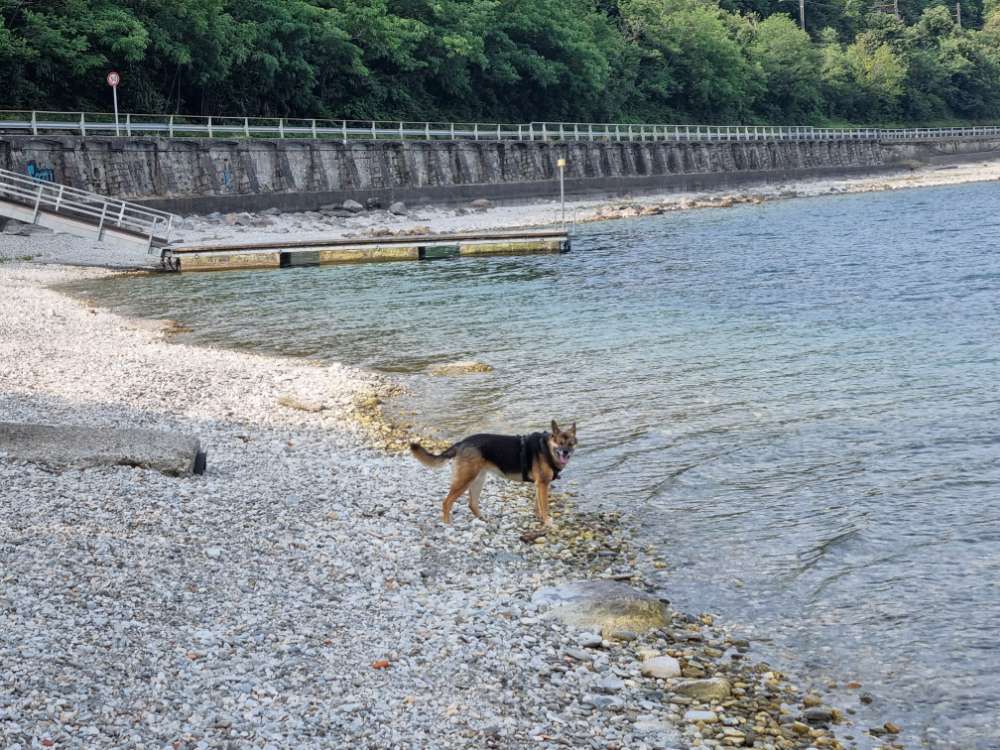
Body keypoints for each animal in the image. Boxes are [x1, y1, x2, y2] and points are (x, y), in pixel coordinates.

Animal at [408, 424, 580, 528]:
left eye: (571, 443)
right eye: (560, 442)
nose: (566, 453)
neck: (546, 448)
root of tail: (462, 442)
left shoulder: (539, 485)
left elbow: (537, 505)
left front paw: (539, 518)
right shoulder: (542, 485)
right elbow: (544, 506)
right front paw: (547, 522)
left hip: (478, 480)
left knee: (472, 503)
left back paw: (483, 519)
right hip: (465, 480)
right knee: (446, 502)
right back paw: (447, 524)